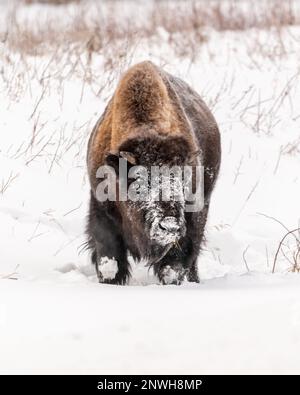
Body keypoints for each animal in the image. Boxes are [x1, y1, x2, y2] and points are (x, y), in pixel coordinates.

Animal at [86, 61, 220, 284]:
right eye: (139, 182)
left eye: (182, 180)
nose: (169, 226)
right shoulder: (101, 207)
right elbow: (109, 261)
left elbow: (173, 265)